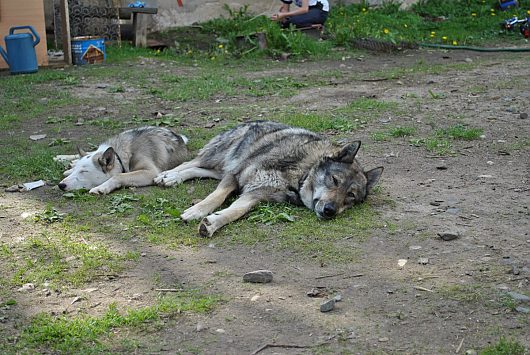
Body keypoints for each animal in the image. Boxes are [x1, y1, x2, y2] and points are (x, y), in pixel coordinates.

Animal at [57, 126, 189, 195]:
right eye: (77, 171)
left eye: (84, 172)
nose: (61, 185)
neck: (119, 155)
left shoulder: (151, 172)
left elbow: (118, 176)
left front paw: (102, 188)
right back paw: (64, 159)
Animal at [155, 121, 382, 238]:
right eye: (334, 180)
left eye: (350, 196)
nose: (330, 211)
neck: (299, 173)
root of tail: (252, 121)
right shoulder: (236, 176)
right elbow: (216, 197)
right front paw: (197, 210)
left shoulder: (256, 194)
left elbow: (236, 211)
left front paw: (212, 223)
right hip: (221, 157)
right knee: (191, 163)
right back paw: (167, 176)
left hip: (224, 167)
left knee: (199, 169)